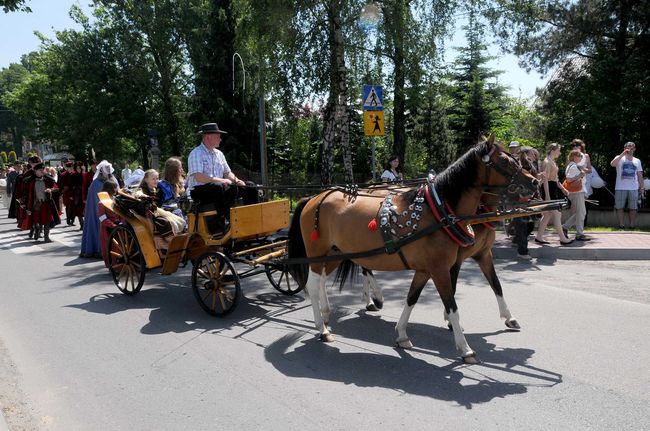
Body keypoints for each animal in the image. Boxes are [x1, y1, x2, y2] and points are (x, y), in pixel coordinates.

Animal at [288, 137, 536, 362]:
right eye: (505, 161)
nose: (534, 182)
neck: (440, 211)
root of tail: (315, 197)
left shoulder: (431, 268)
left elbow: (412, 298)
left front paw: (402, 335)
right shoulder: (441, 268)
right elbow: (452, 305)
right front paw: (465, 347)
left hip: (335, 253)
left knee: (322, 279)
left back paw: (329, 314)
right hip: (318, 251)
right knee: (313, 284)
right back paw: (323, 328)